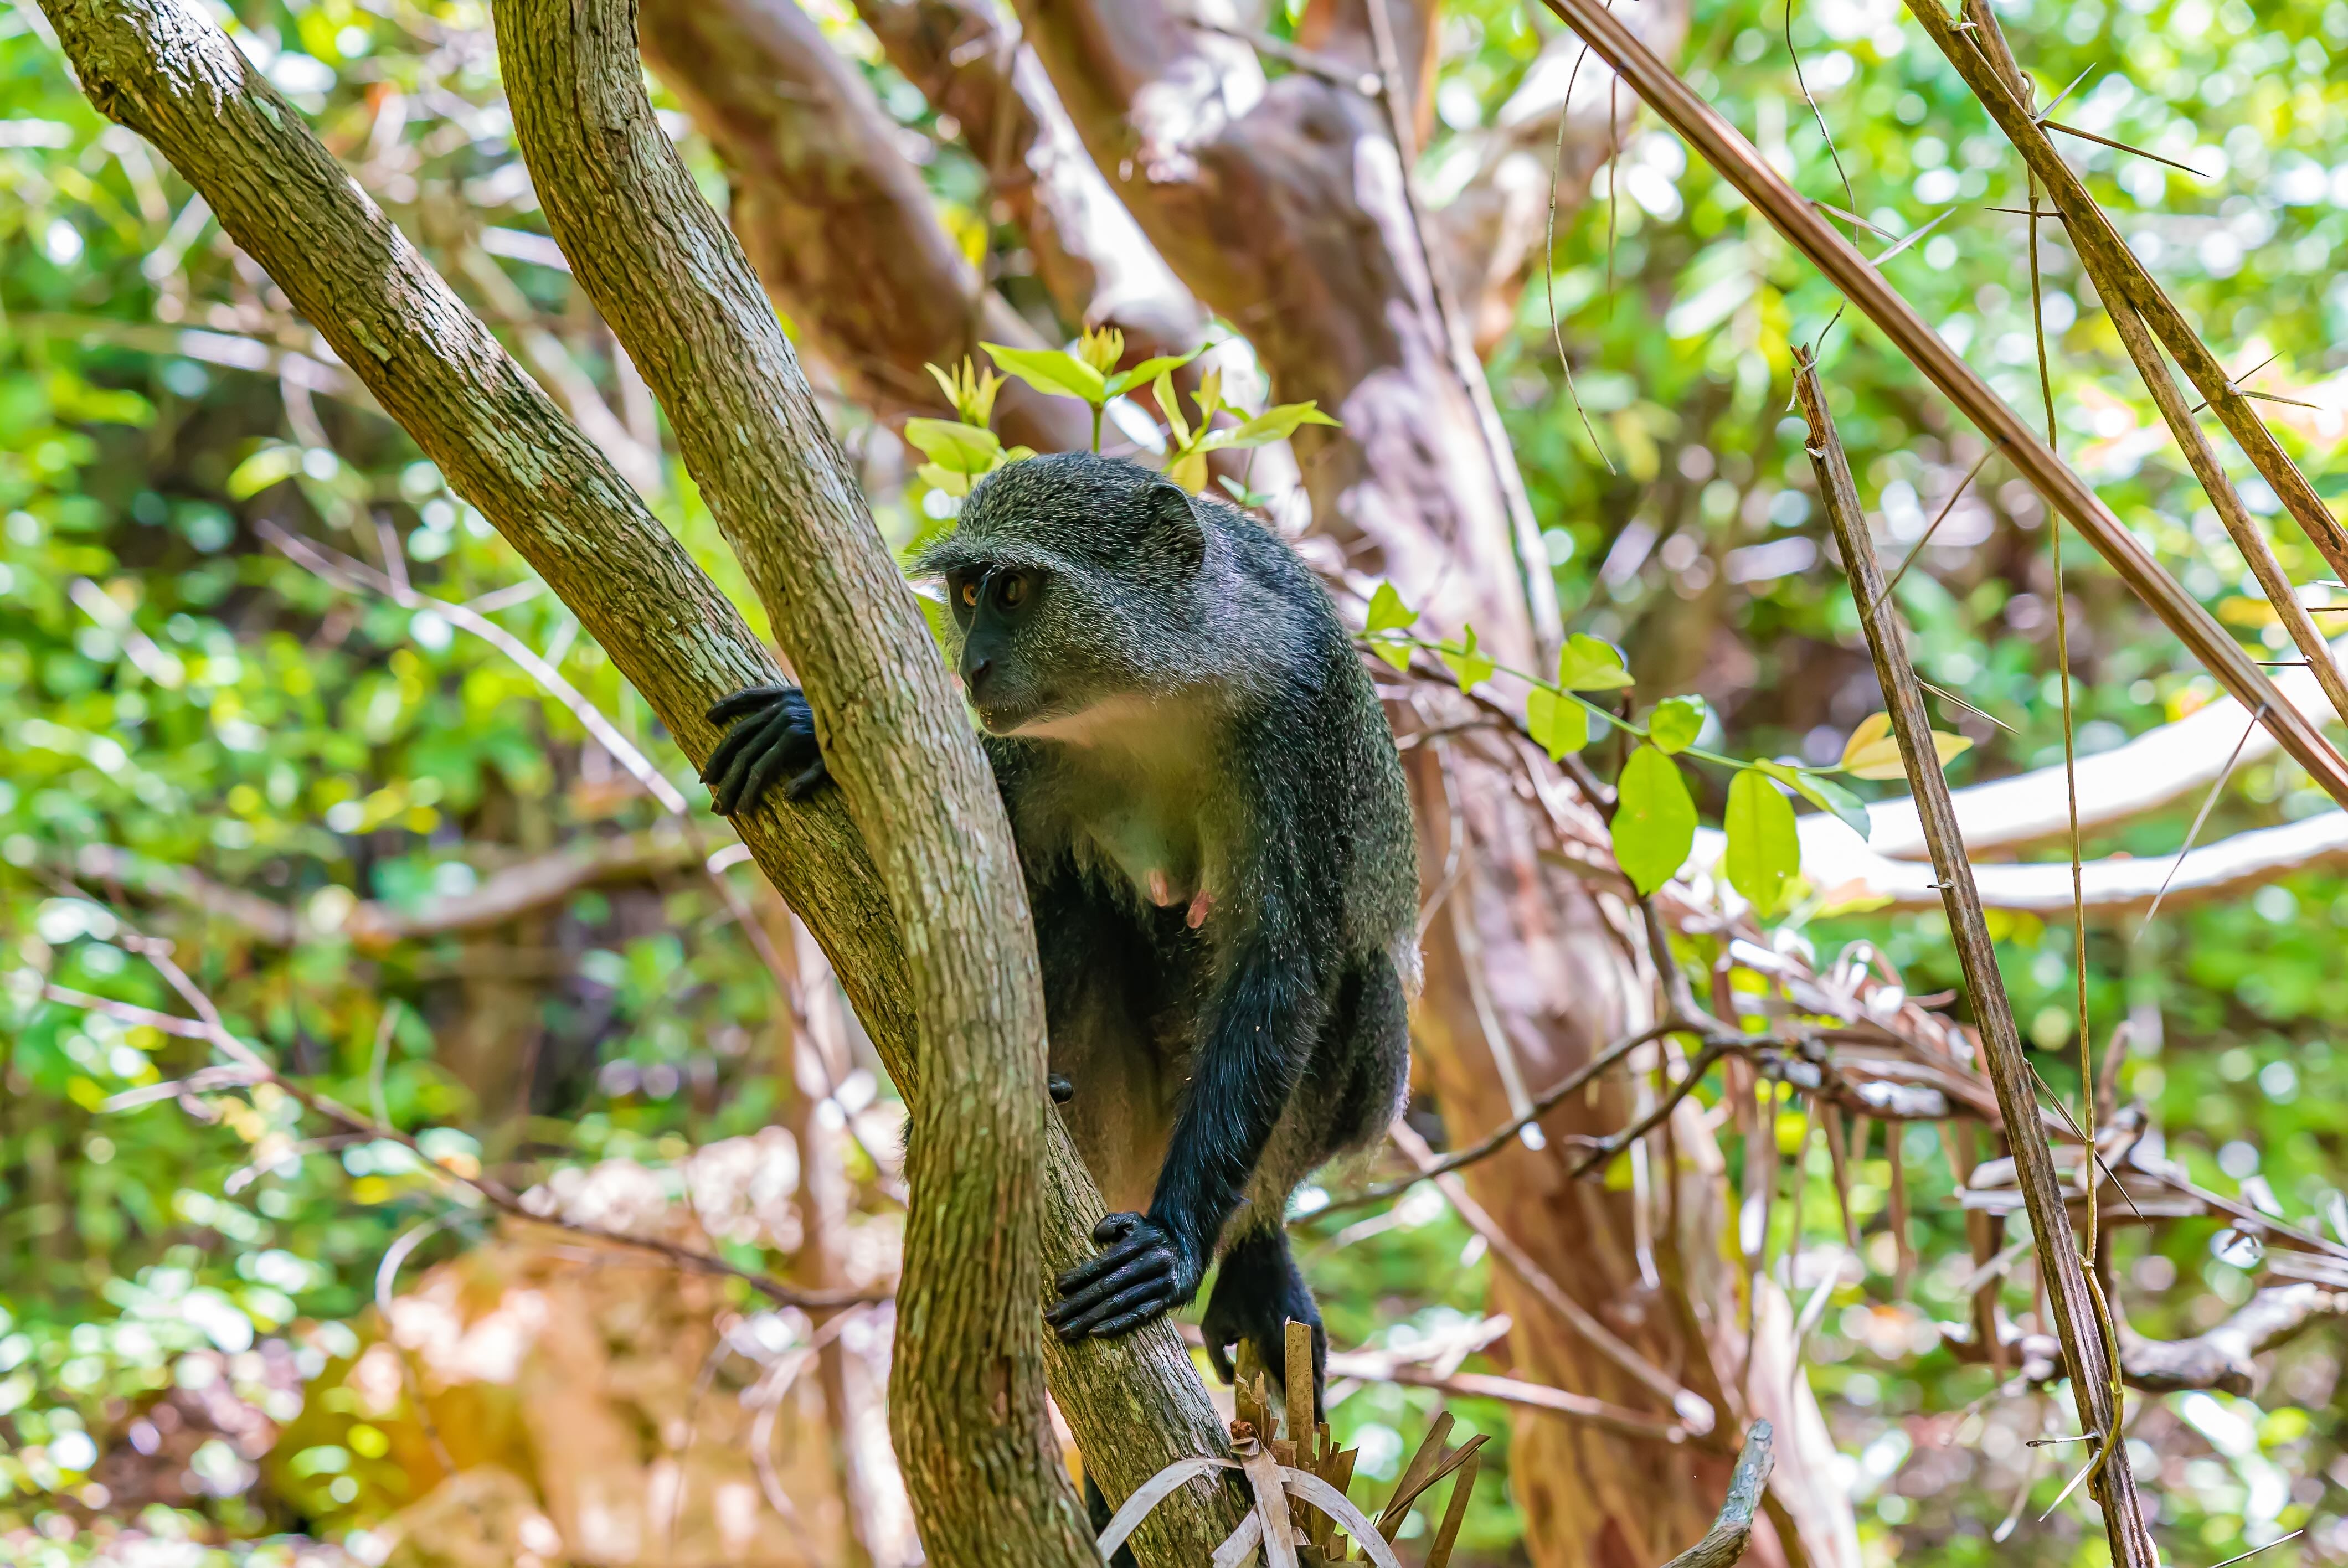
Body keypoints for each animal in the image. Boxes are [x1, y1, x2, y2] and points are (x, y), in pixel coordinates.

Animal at [701, 451, 1417, 1416]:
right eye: (969, 593)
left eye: (1011, 589)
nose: (972, 666)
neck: (1160, 688)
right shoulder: (1037, 749)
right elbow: (966, 842)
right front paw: (812, 732)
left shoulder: (1300, 727)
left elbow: (1285, 966)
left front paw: (1173, 1244)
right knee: (1071, 905)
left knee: (1358, 988)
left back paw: (1251, 1241)